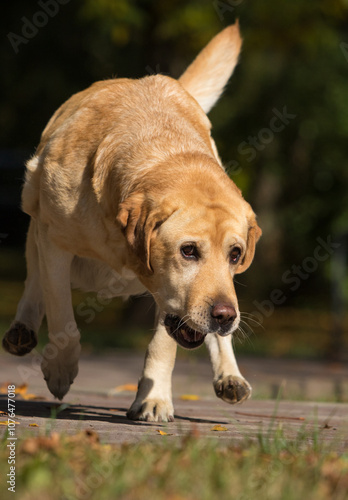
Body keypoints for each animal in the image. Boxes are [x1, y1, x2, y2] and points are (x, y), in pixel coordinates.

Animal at [3, 23, 260, 422]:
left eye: (235, 254)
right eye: (188, 251)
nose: (223, 316)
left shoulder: (171, 295)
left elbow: (162, 345)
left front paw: (153, 399)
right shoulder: (54, 243)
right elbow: (62, 317)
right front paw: (60, 368)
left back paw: (230, 374)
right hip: (35, 212)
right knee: (34, 279)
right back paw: (23, 328)